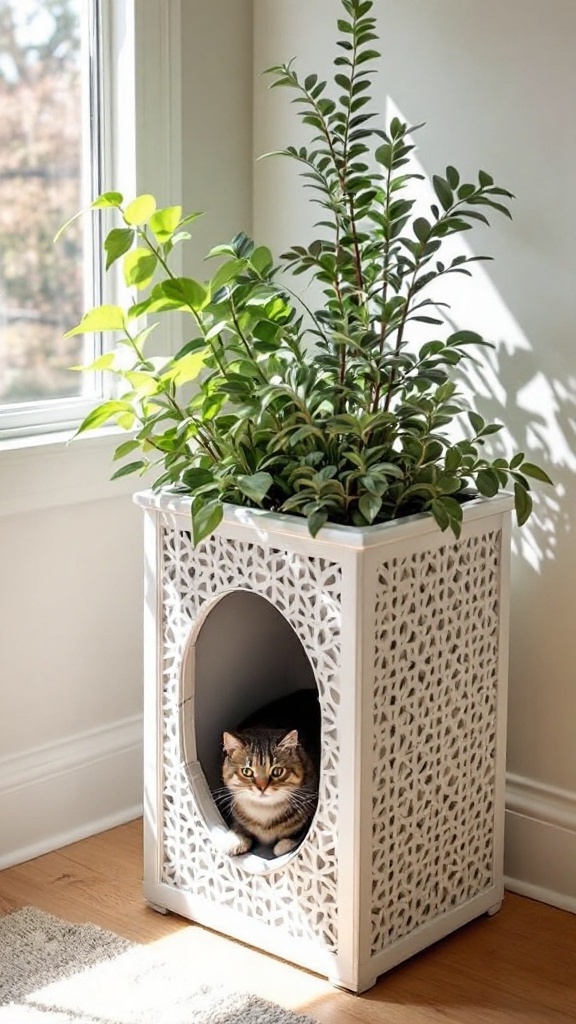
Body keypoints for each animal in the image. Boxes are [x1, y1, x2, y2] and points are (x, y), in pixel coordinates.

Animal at [218, 688, 317, 856]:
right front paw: (235, 840)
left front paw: (283, 845)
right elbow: (239, 826)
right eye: (247, 771)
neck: (263, 811)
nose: (262, 787)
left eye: (277, 771)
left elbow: (295, 835)